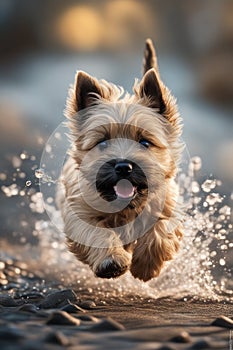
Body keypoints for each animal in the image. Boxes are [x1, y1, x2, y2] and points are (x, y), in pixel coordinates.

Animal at [57, 38, 184, 282]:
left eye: (144, 142)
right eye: (102, 142)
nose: (124, 167)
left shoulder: (167, 205)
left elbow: (160, 229)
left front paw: (145, 265)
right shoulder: (79, 212)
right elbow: (97, 233)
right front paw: (112, 261)